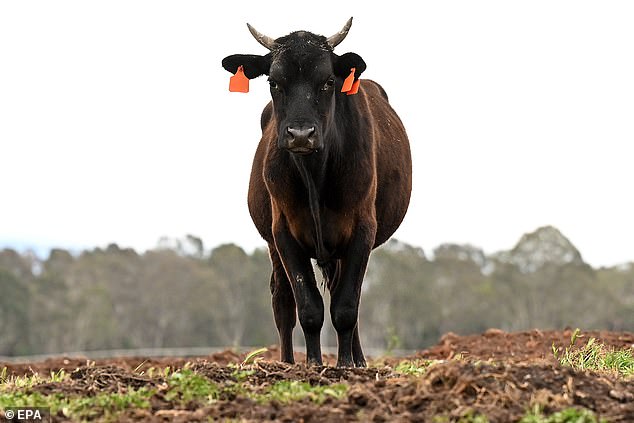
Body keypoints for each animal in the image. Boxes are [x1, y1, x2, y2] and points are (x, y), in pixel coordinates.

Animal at [221, 18, 410, 366]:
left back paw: (358, 359)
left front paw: (346, 363)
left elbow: (346, 306)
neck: (315, 176)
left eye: (328, 82)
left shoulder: (362, 229)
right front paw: (313, 364)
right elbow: (308, 306)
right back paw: (286, 361)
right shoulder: (283, 233)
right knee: (282, 300)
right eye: (274, 82)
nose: (300, 134)